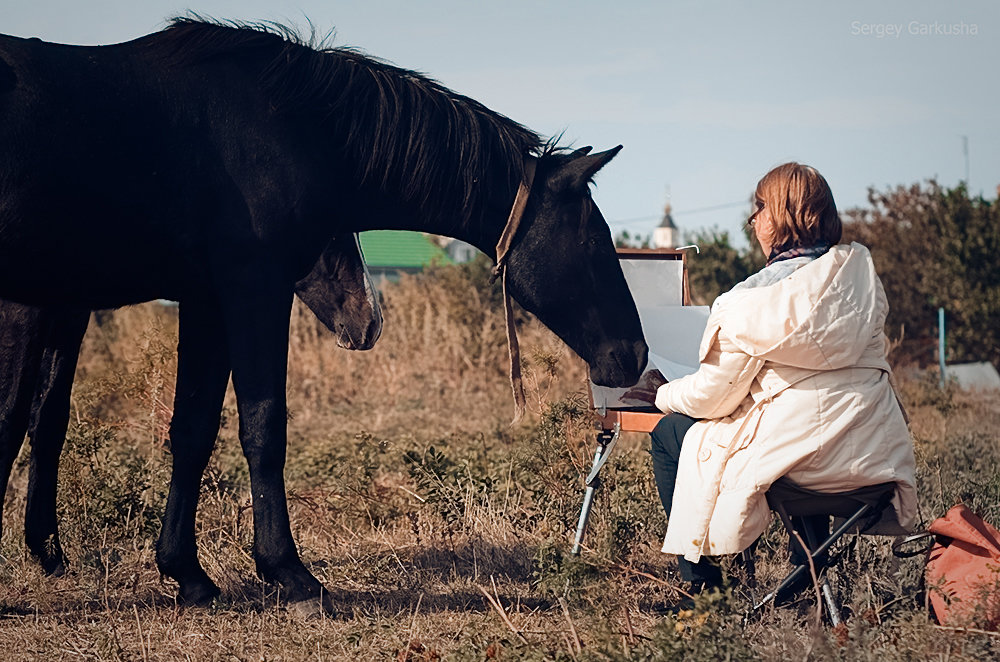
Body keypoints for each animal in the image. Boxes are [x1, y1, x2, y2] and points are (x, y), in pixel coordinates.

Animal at [0, 232, 382, 576]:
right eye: (329, 239)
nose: (371, 324)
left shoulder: (70, 310)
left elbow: (48, 419)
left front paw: (48, 553)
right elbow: (11, 415)